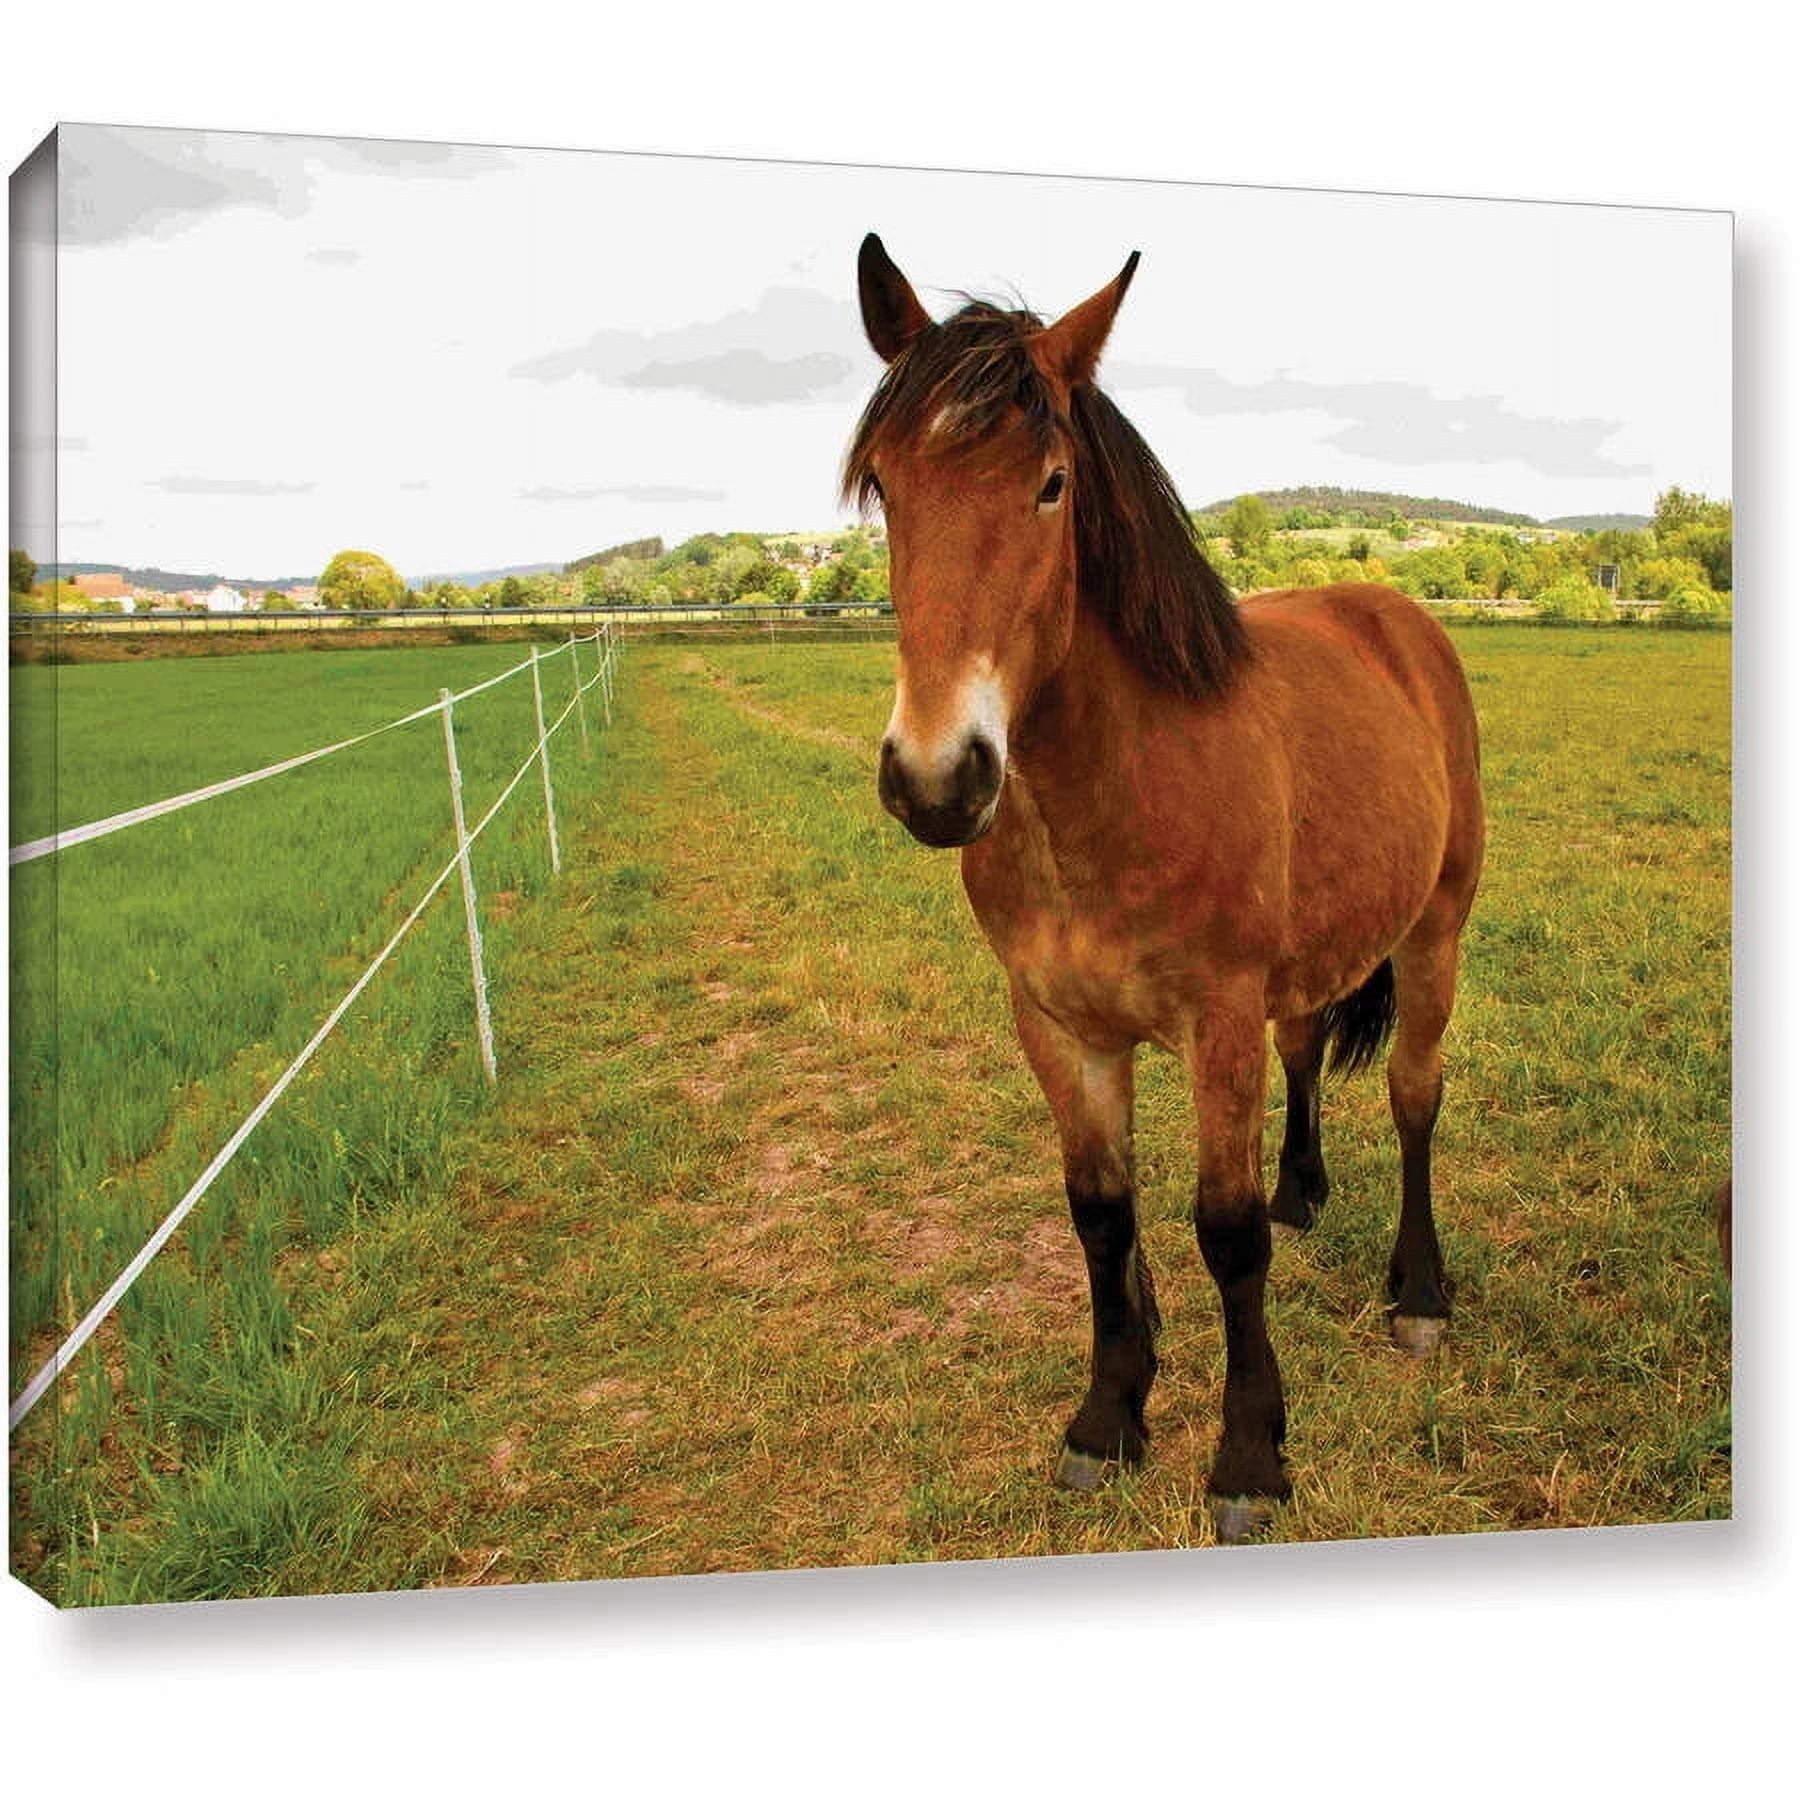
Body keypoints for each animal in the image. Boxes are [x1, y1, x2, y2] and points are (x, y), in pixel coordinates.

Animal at [844, 234, 1486, 1542]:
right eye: (884, 484)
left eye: (1050, 485)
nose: (937, 779)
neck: (1110, 791)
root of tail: (1397, 616)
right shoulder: (1058, 1025)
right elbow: (1102, 1214)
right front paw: (1108, 1419)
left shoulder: (1216, 1020)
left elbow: (1221, 1233)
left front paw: (1247, 1457)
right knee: (1309, 1052)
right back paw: (1305, 1191)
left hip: (1436, 933)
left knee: (1414, 1096)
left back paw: (1419, 1292)